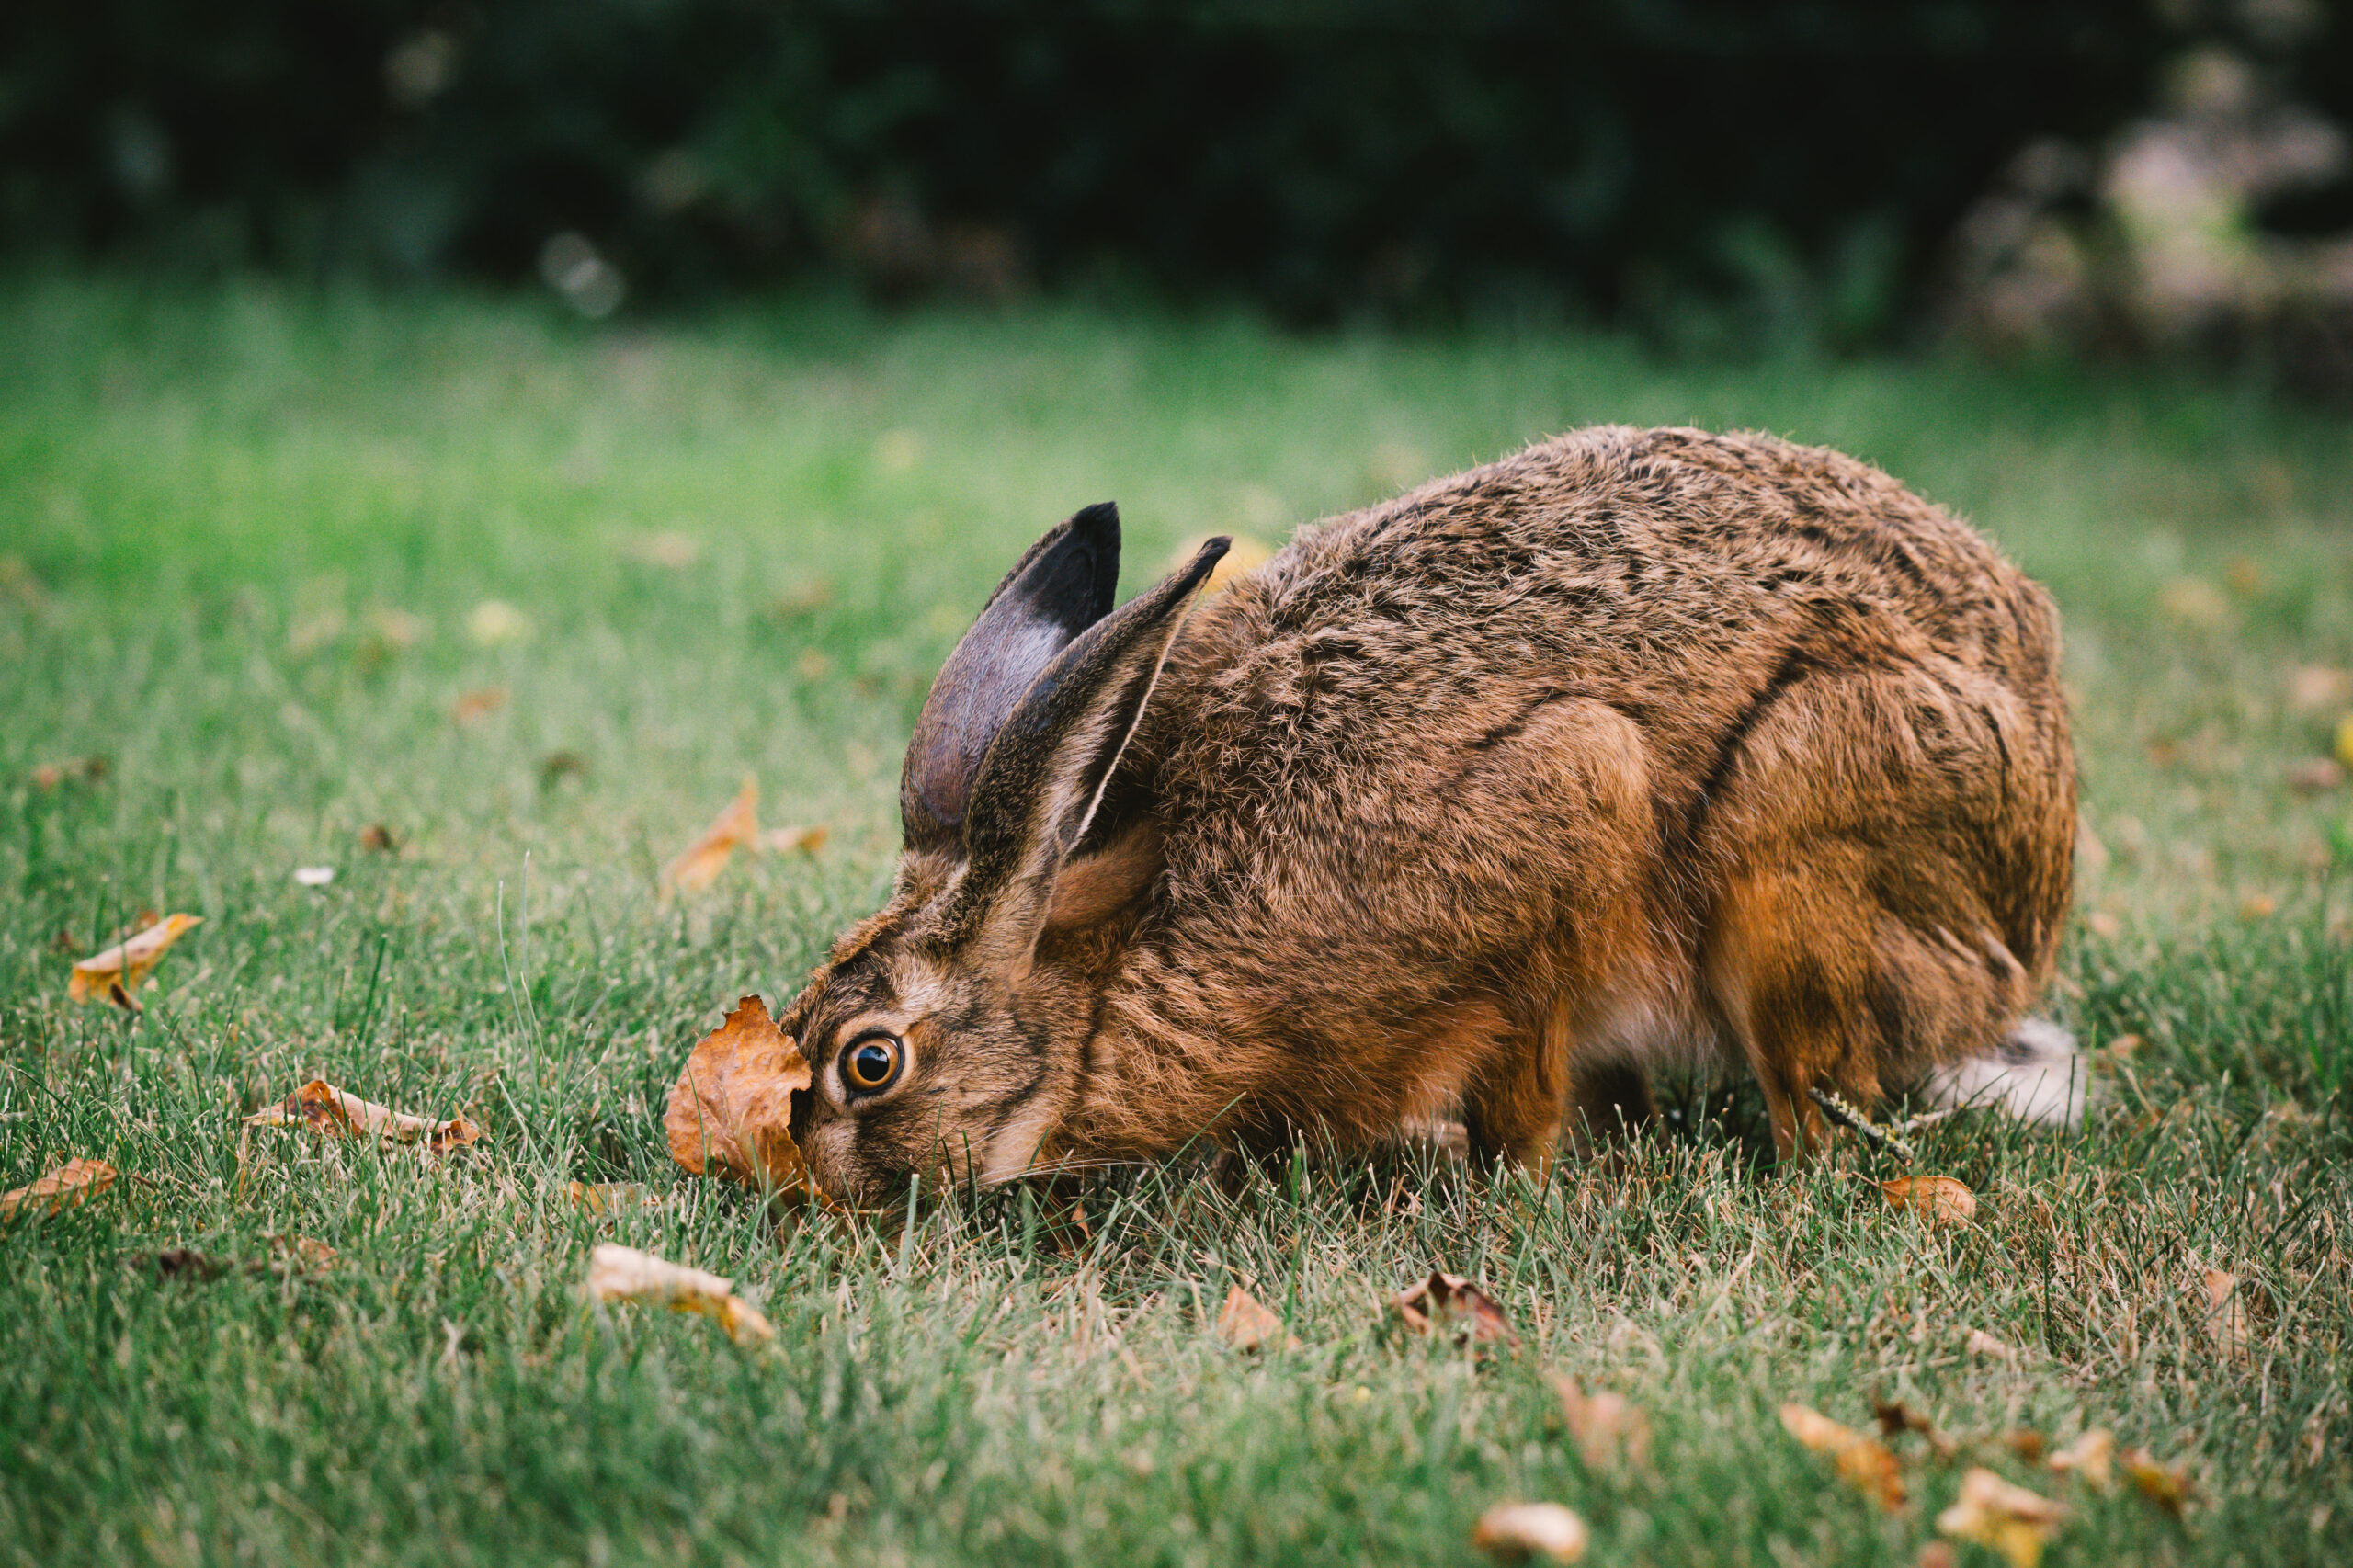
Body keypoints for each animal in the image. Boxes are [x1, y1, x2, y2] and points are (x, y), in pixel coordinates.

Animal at [776, 426, 2083, 1208]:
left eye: (870, 1062)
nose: (813, 1180)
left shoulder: (1569, 805)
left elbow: (1526, 1082)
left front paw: (1512, 1183)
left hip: (1798, 844)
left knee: (1817, 1092)